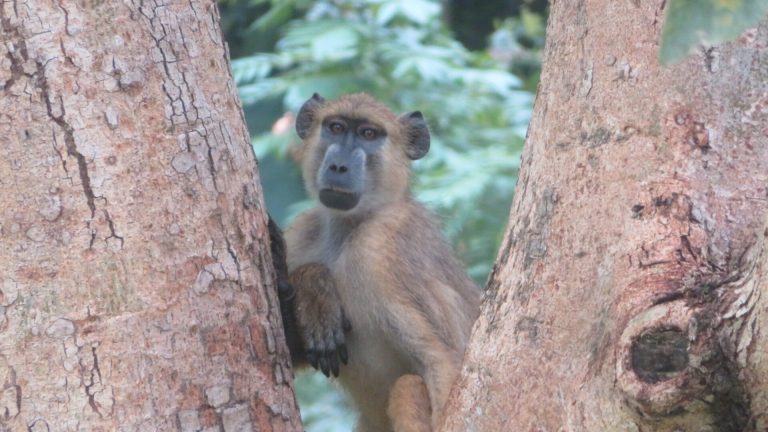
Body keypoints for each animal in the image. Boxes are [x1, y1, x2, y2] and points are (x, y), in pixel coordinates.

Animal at [269, 93, 481, 432]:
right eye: (336, 128)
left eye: (369, 134)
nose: (339, 166)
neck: (349, 227)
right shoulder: (304, 234)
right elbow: (285, 351)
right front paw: (313, 289)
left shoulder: (378, 253)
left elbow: (441, 360)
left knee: (407, 387)